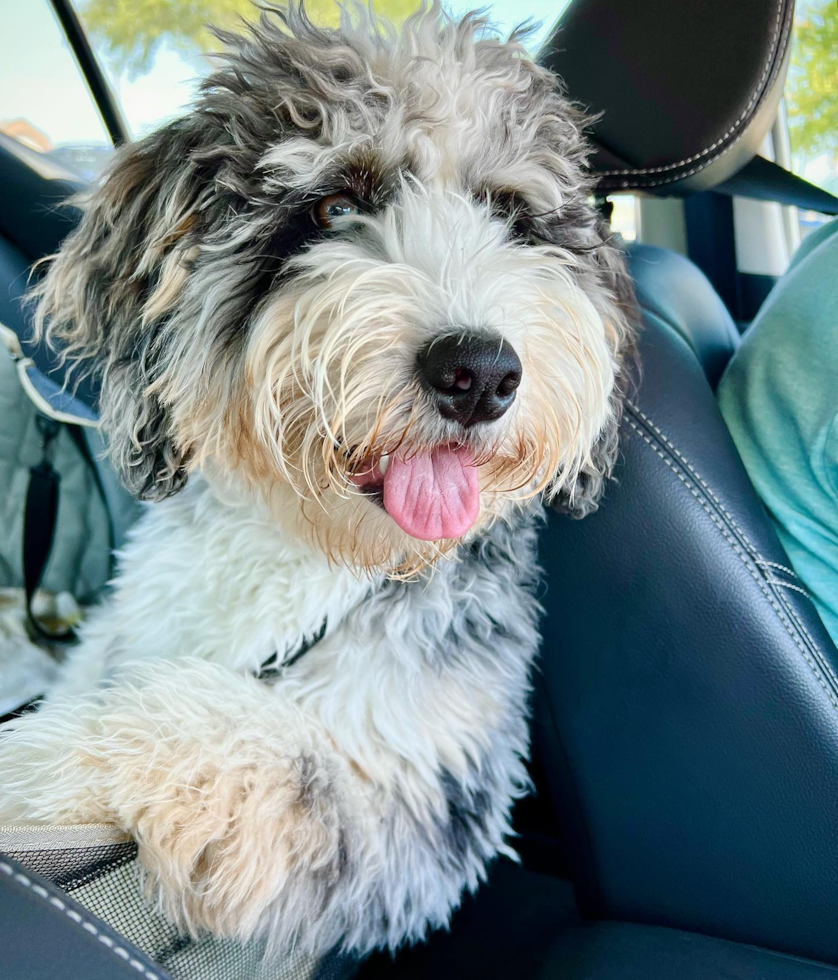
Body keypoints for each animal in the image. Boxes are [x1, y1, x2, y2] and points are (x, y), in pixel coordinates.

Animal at [0, 1, 632, 956]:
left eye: (511, 216)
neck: (314, 553)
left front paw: (30, 759)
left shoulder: (421, 808)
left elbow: (229, 735)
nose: (480, 371)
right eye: (335, 203)